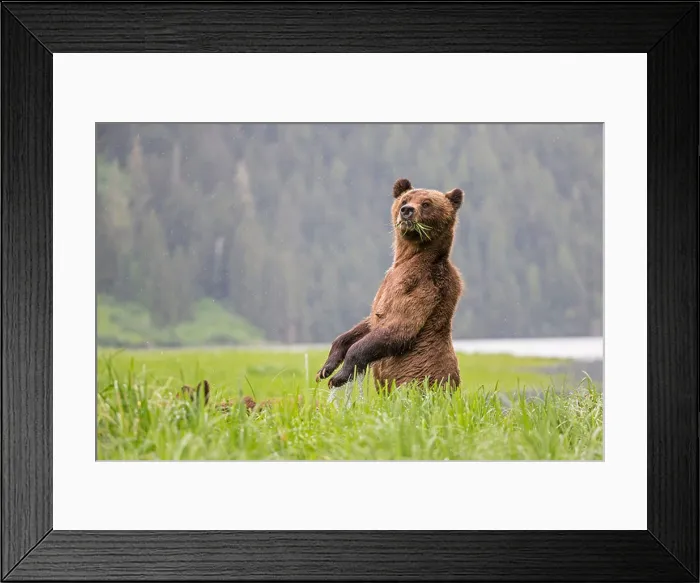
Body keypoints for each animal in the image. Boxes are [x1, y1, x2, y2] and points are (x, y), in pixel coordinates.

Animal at [315, 177, 465, 392]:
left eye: (426, 203)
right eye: (405, 199)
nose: (407, 210)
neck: (408, 257)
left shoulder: (420, 285)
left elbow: (399, 326)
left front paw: (340, 375)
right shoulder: (389, 283)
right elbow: (368, 323)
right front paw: (326, 368)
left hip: (419, 381)